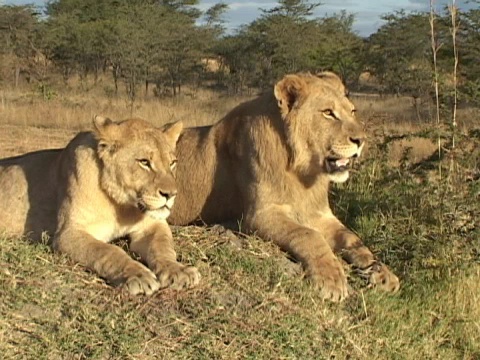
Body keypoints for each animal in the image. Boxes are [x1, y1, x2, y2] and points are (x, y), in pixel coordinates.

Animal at [0, 117, 200, 296]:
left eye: (172, 163)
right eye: (144, 162)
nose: (171, 194)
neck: (123, 205)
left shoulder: (152, 226)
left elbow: (163, 247)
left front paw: (178, 270)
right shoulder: (68, 233)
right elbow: (108, 251)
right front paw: (138, 275)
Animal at [171, 72, 400, 300]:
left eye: (352, 111)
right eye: (328, 113)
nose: (361, 140)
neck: (302, 171)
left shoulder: (320, 215)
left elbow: (352, 238)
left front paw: (383, 273)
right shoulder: (260, 215)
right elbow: (309, 235)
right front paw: (331, 279)